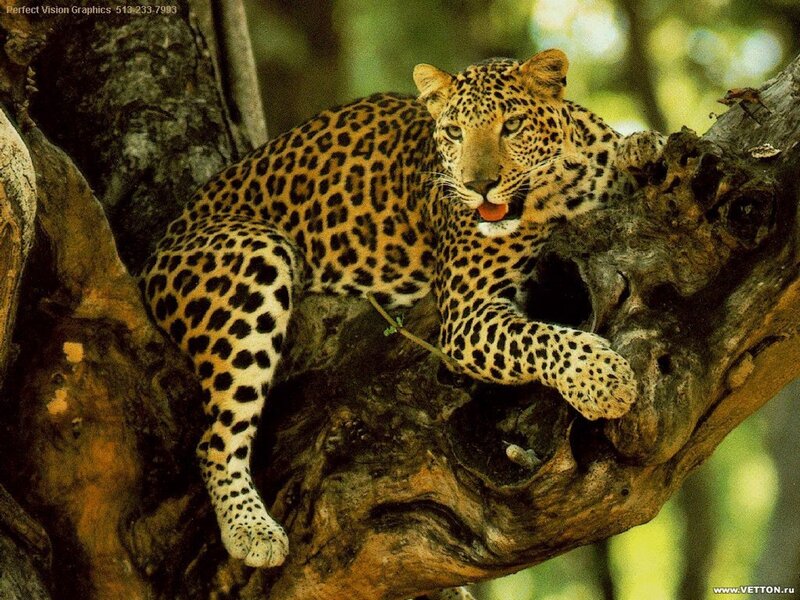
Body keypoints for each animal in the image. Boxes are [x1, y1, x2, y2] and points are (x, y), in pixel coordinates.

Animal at [140, 48, 664, 586]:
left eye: (512, 126)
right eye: (453, 132)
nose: (478, 187)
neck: (561, 194)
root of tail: (157, 247)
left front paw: (644, 148)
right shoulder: (466, 313)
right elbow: (540, 338)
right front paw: (603, 379)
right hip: (253, 256)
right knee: (215, 438)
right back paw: (251, 528)